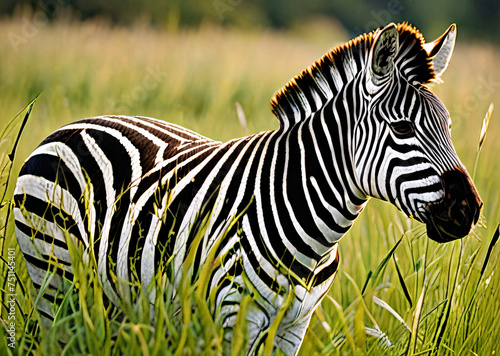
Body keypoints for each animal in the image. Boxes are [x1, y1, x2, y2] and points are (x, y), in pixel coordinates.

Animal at [13, 22, 480, 354]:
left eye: (449, 127)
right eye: (402, 128)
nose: (468, 210)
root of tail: (67, 126)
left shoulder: (294, 326)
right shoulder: (234, 316)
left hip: (112, 295)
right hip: (53, 278)